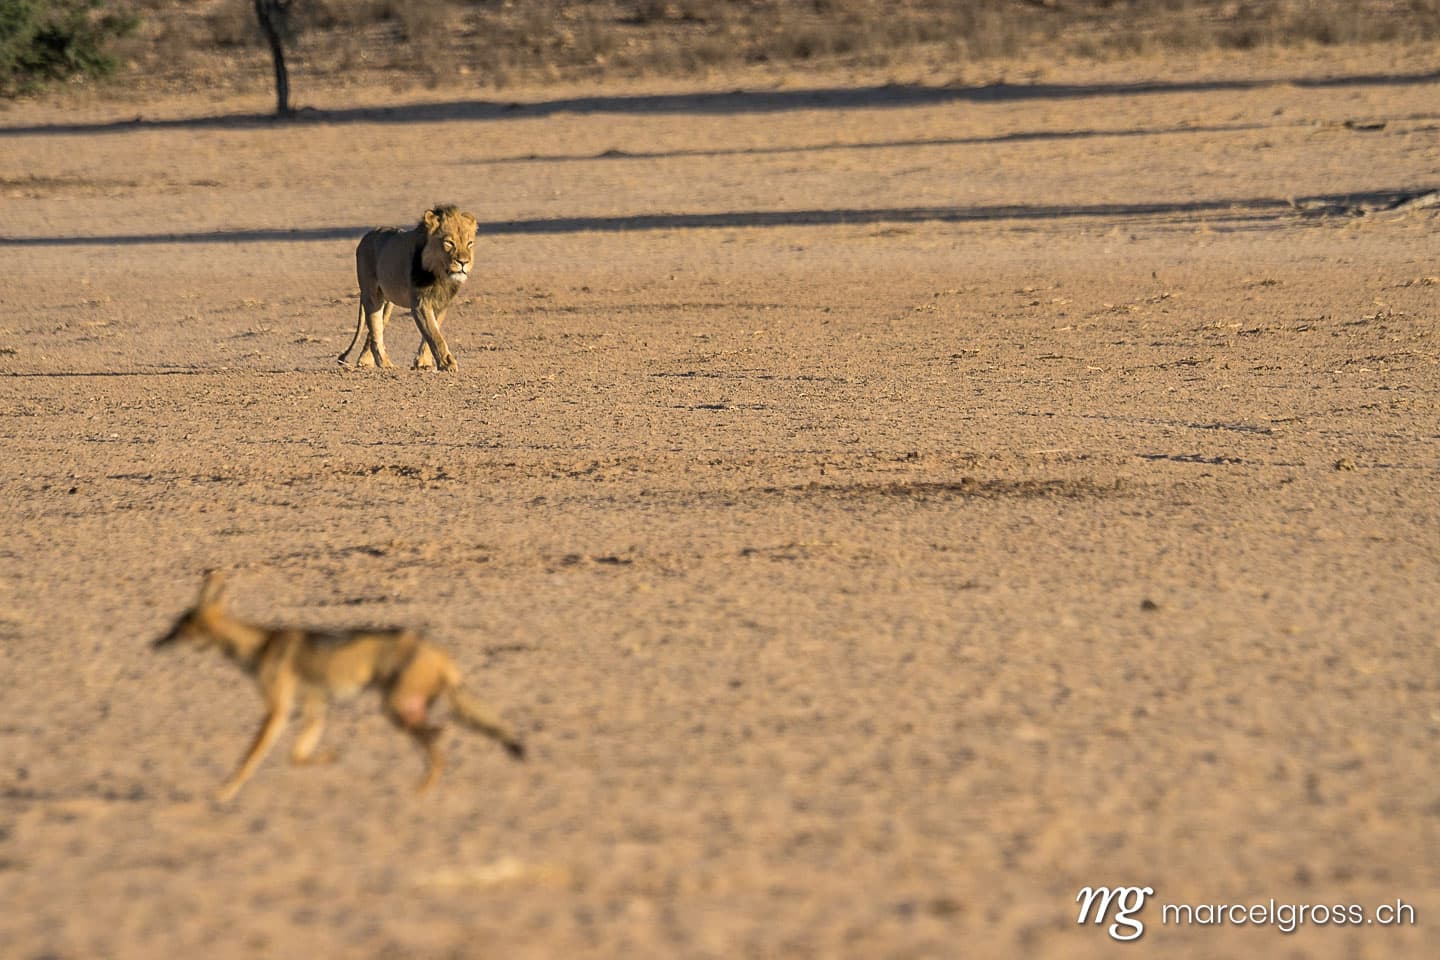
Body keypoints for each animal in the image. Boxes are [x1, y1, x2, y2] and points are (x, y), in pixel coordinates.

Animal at [339, 204, 479, 371]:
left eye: (469, 243)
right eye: (449, 242)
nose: (464, 262)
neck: (440, 276)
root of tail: (367, 236)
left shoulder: (442, 303)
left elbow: (432, 331)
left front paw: (423, 362)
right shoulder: (420, 302)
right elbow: (434, 334)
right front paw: (447, 364)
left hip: (387, 302)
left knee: (373, 332)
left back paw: (366, 360)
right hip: (372, 295)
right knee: (375, 329)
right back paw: (384, 363)